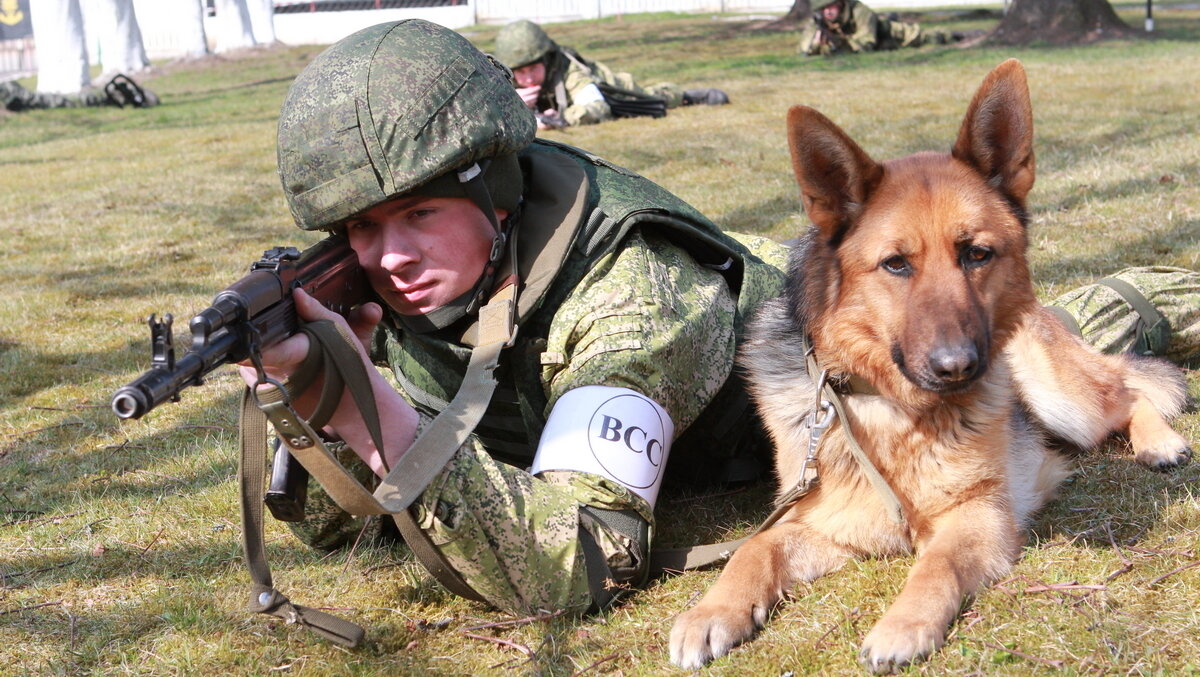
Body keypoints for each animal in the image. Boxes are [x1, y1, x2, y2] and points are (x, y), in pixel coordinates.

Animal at [672, 60, 1185, 672]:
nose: (958, 367)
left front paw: (903, 624)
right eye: (896, 264)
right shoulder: (820, 520)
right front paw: (711, 611)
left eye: (977, 254)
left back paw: (1160, 442)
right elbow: (754, 547)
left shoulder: (979, 514)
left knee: (1130, 393)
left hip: (1064, 403)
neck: (893, 408)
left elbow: (936, 564)